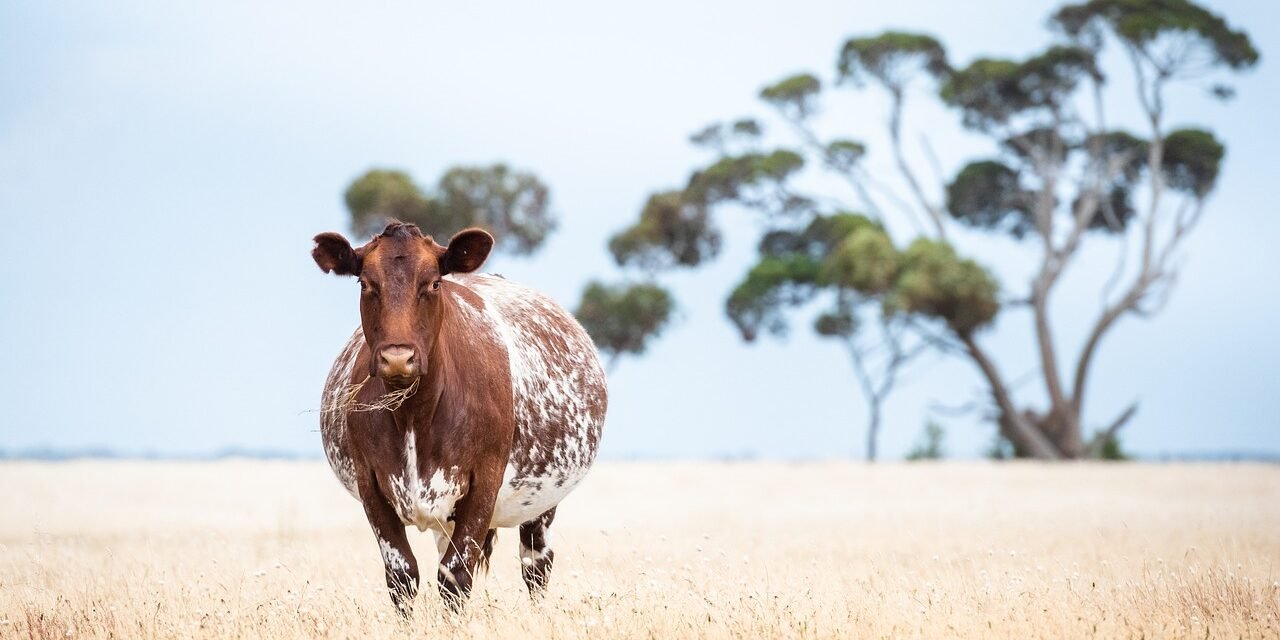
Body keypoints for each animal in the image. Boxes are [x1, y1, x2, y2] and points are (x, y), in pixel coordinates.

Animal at [310, 221, 607, 614]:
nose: (397, 358)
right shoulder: (370, 484)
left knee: (536, 565)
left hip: (542, 504)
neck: (414, 414)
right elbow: (402, 576)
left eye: (434, 283)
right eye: (365, 283)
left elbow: (455, 577)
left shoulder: (484, 482)